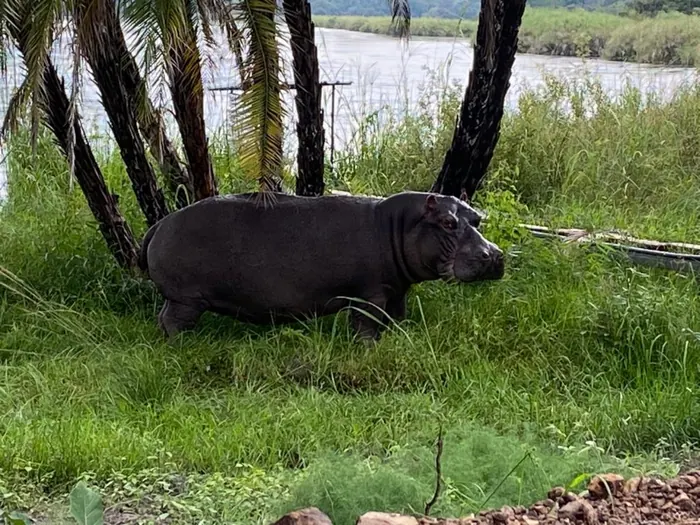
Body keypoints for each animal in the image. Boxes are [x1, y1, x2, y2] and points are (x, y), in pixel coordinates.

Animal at [139, 191, 505, 340]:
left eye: (477, 218)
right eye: (447, 222)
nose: (494, 255)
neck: (398, 226)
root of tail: (160, 223)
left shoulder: (396, 289)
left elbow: (396, 316)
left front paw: (398, 336)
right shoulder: (369, 294)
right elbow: (367, 325)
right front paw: (368, 348)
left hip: (181, 298)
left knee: (163, 318)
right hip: (186, 298)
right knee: (172, 321)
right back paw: (184, 344)